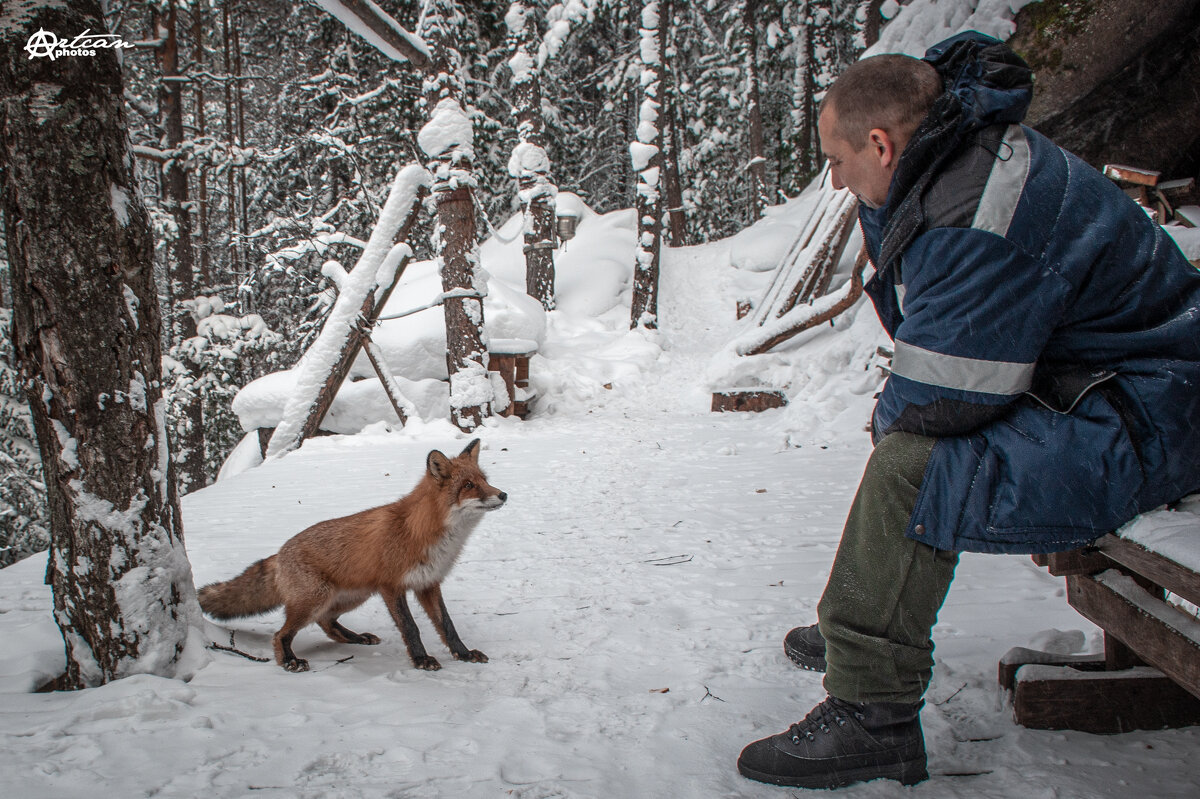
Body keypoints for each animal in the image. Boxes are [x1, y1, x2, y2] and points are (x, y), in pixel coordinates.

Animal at [199, 439, 504, 667]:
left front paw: (463, 654)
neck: (423, 531)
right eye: (468, 486)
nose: (503, 495)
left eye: (484, 480)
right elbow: (410, 628)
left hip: (352, 596)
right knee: (280, 634)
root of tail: (279, 553)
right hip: (316, 599)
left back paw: (357, 638)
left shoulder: (428, 584)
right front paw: (421, 659)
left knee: (326, 623)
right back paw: (289, 660)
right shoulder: (391, 586)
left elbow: (447, 626)